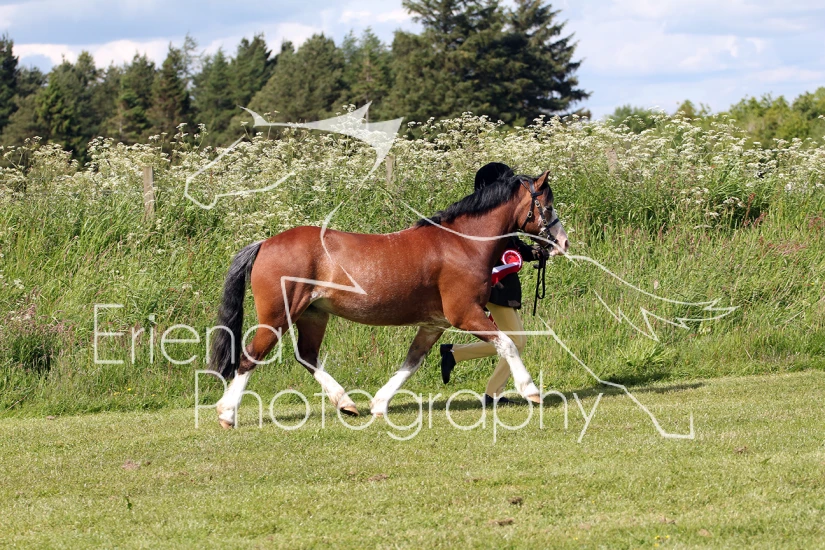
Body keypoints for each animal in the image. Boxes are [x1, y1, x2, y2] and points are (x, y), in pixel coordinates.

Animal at [210, 170, 569, 428]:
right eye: (548, 206)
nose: (563, 243)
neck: (462, 243)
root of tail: (264, 243)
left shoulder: (434, 323)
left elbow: (412, 361)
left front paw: (380, 404)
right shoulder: (466, 314)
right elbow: (507, 343)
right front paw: (531, 391)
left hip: (313, 314)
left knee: (307, 355)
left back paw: (346, 403)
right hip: (278, 317)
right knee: (250, 357)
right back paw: (227, 414)